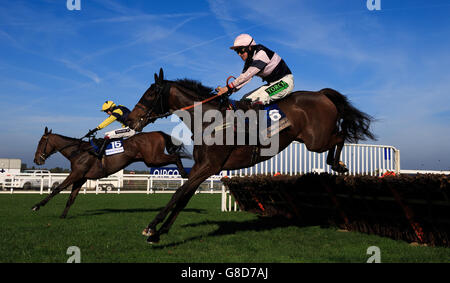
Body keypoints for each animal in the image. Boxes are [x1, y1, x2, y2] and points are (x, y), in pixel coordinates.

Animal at [30, 127, 190, 219]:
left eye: (40, 143)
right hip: (151, 159)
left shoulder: (76, 174)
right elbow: (71, 197)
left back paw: (184, 173)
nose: (36, 160)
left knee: (176, 157)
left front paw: (37, 206)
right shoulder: (81, 177)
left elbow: (57, 188)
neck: (78, 151)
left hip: (153, 159)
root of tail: (158, 133)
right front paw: (63, 216)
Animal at [125, 69, 374, 244]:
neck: (208, 120)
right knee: (339, 136)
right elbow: (184, 196)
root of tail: (321, 94)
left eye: (149, 94)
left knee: (340, 135)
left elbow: (178, 193)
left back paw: (337, 164)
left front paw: (151, 227)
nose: (130, 119)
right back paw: (337, 163)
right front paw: (160, 233)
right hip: (310, 140)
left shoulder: (209, 166)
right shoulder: (201, 167)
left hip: (316, 141)